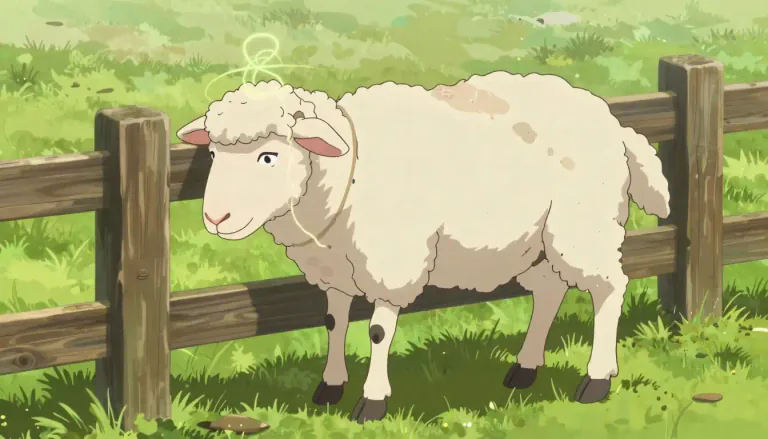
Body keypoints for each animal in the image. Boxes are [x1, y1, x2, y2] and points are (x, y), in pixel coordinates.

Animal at [177, 71, 671, 424]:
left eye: (269, 156)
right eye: (214, 155)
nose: (215, 218)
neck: (344, 175)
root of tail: (615, 124)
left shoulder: (391, 260)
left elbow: (378, 332)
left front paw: (372, 401)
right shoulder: (336, 269)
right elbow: (334, 322)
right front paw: (330, 387)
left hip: (583, 227)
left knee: (609, 289)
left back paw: (596, 378)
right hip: (540, 241)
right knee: (550, 293)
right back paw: (525, 369)